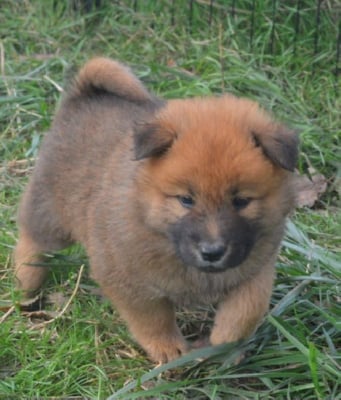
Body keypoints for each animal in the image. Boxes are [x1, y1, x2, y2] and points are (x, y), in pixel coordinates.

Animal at [13, 57, 298, 362]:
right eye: (186, 199)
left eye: (241, 201)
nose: (212, 252)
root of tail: (84, 95)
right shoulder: (127, 278)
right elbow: (153, 319)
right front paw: (169, 349)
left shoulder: (256, 267)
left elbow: (247, 309)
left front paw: (224, 342)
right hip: (50, 215)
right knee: (31, 241)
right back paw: (25, 285)